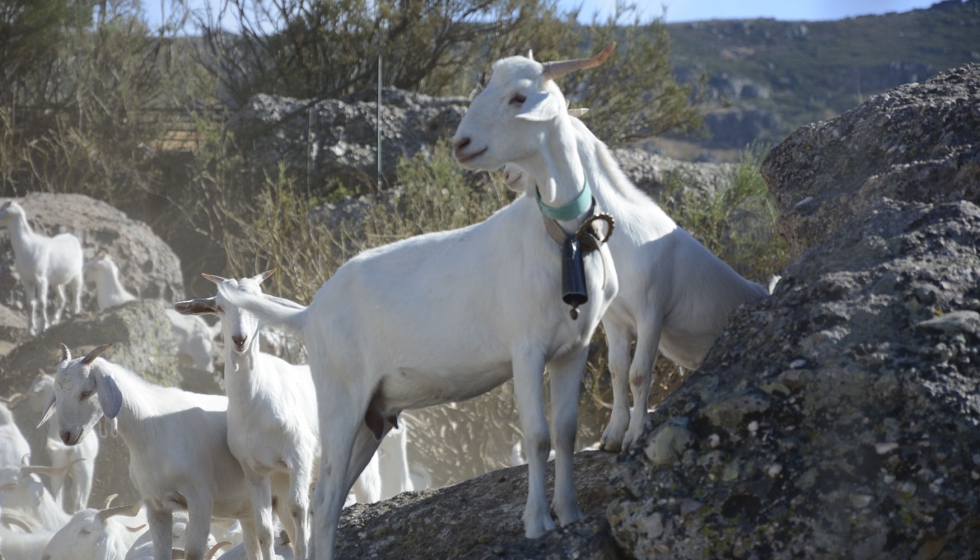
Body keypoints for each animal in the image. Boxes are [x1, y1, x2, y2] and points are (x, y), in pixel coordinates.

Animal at [0, 201, 83, 335]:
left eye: (2, 208)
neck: (27, 247)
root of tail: (73, 238)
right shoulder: (27, 281)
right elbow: (30, 304)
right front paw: (31, 331)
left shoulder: (41, 280)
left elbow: (42, 302)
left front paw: (43, 327)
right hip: (55, 283)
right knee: (62, 299)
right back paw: (55, 320)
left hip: (76, 275)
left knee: (76, 292)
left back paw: (75, 313)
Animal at [39, 343, 266, 560]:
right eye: (57, 392)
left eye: (86, 392)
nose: (66, 435)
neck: (153, 427)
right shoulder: (156, 504)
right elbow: (160, 552)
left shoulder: (200, 499)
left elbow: (194, 552)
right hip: (247, 511)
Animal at [215, 50, 619, 559]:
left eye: (518, 96)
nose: (461, 143)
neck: (560, 237)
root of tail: (310, 313)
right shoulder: (526, 350)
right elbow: (537, 435)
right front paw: (539, 523)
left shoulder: (572, 349)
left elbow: (565, 432)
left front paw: (570, 514)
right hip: (341, 398)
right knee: (323, 498)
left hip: (374, 416)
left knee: (332, 501)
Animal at [455, 43, 769, 452]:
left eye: (520, 101)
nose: (508, 174)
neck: (626, 234)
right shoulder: (616, 318)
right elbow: (618, 370)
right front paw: (612, 436)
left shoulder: (652, 312)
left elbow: (638, 373)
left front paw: (634, 436)